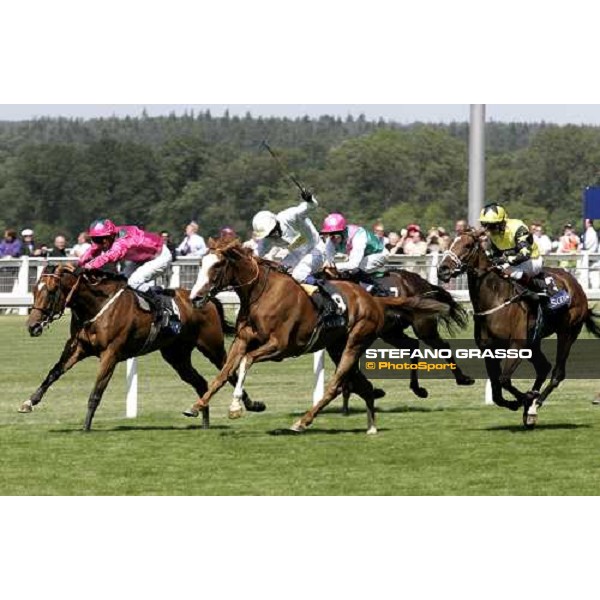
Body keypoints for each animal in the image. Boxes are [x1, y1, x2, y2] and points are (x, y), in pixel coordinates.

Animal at [19, 264, 264, 428]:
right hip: (176, 356)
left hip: (211, 346)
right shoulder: (79, 348)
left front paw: (86, 426)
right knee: (201, 382)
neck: (97, 305)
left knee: (228, 370)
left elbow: (96, 391)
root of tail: (205, 299)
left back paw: (252, 405)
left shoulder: (110, 353)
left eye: (51, 291)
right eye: (35, 289)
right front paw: (29, 402)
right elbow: (54, 372)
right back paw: (201, 418)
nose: (32, 326)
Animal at [183, 240, 450, 436]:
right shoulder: (242, 340)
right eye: (201, 263)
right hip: (337, 347)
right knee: (363, 385)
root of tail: (374, 299)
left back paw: (303, 421)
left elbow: (246, 361)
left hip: (355, 342)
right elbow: (224, 373)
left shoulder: (279, 346)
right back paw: (371, 426)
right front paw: (196, 406)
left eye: (218, 265)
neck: (262, 293)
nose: (195, 298)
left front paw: (235, 406)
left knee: (335, 384)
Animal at [436, 227, 600, 428]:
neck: (496, 299)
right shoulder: (489, 349)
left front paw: (527, 399)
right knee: (543, 367)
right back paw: (531, 407)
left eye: (467, 245)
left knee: (557, 373)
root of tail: (575, 284)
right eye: (451, 242)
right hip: (534, 342)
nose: (443, 269)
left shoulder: (517, 346)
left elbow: (504, 380)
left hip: (567, 333)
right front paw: (520, 402)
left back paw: (535, 404)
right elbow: (497, 393)